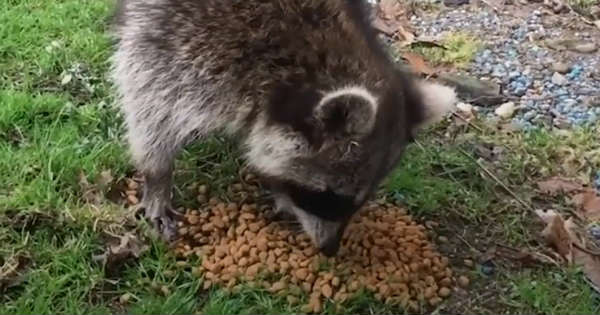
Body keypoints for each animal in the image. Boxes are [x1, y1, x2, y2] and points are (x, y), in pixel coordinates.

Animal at [110, 0, 454, 256]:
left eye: (361, 201)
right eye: (328, 196)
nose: (330, 250)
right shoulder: (186, 41)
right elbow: (151, 104)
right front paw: (157, 176)